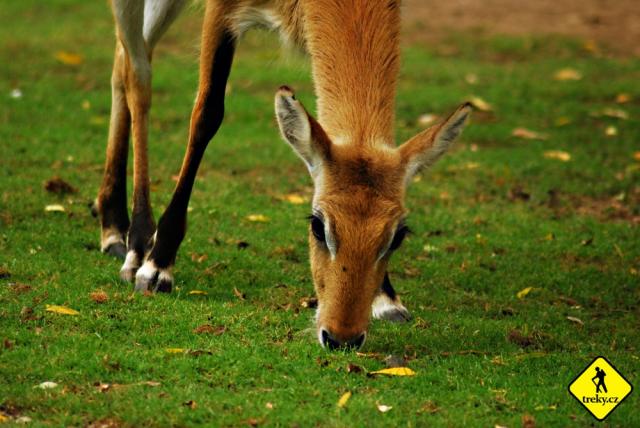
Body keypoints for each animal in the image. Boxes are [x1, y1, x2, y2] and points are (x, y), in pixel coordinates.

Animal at [97, 0, 472, 348]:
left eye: (398, 235)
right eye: (318, 225)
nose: (342, 338)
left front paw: (386, 298)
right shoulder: (221, 12)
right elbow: (206, 113)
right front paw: (157, 267)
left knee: (123, 60)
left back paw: (113, 223)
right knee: (137, 74)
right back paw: (132, 241)